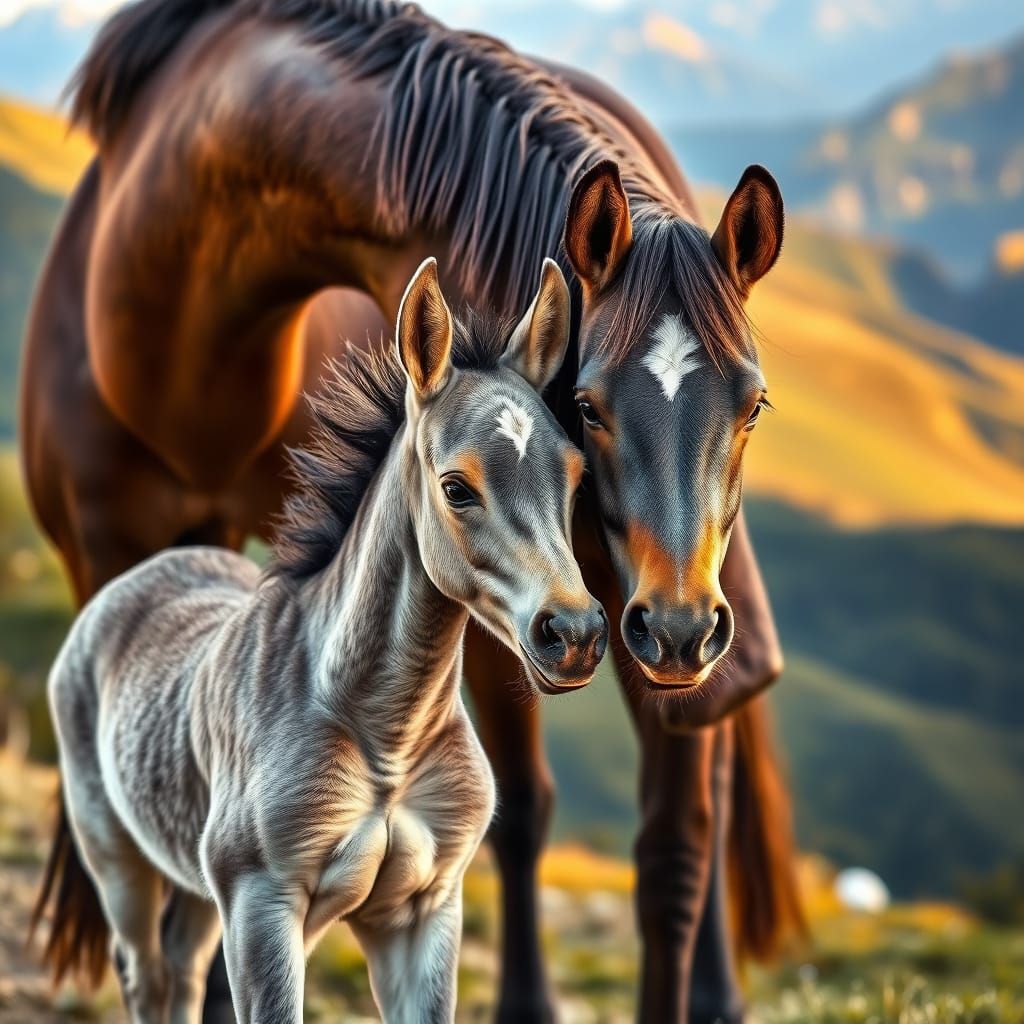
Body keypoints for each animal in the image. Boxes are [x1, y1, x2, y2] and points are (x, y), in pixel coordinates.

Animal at [48, 255, 607, 1023]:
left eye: (576, 478)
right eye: (457, 487)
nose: (574, 634)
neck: (388, 737)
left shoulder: (423, 910)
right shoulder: (262, 903)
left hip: (201, 883)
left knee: (182, 971)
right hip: (117, 854)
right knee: (145, 973)